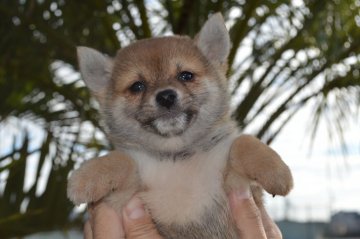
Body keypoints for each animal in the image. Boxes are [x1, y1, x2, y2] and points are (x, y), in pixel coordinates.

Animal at [67, 13, 292, 239]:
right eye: (137, 86)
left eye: (186, 75)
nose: (166, 96)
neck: (177, 158)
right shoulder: (125, 197)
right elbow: (122, 159)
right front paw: (86, 176)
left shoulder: (237, 183)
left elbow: (242, 142)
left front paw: (276, 170)